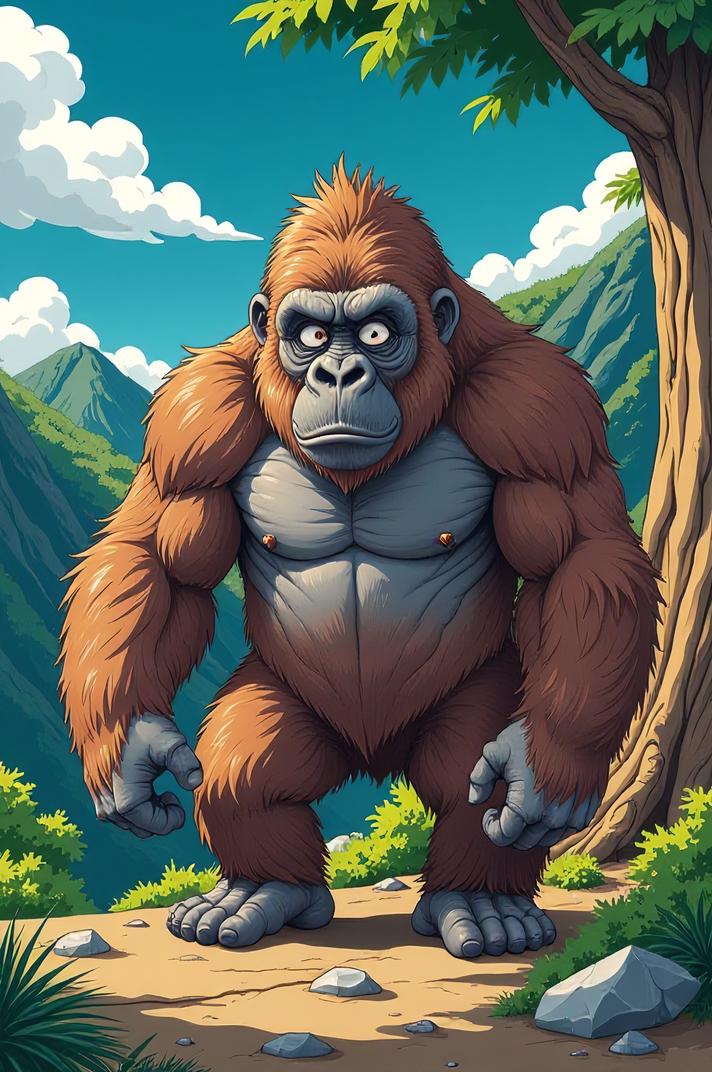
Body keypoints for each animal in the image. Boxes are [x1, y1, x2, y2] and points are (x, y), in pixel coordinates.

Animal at [59, 161, 659, 959]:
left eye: (376, 333)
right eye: (312, 335)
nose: (338, 374)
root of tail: (375, 759)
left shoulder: (538, 402)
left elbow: (581, 558)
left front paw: (549, 768)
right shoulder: (197, 412)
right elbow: (156, 559)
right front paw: (129, 750)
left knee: (465, 773)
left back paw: (482, 898)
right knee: (246, 772)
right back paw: (262, 889)